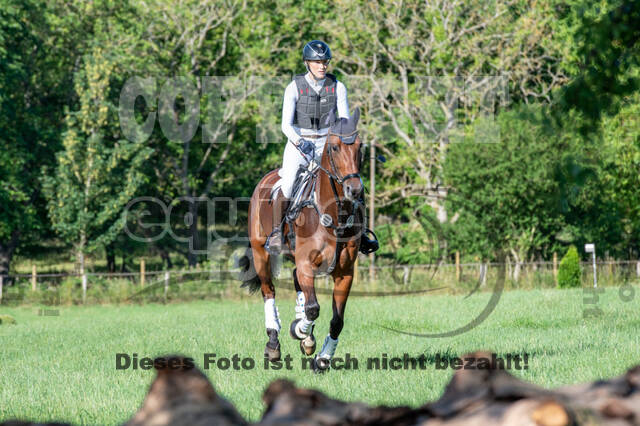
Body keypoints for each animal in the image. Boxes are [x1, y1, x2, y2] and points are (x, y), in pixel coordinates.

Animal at [238, 108, 364, 372]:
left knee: (296, 280)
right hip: (261, 252)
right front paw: (299, 330)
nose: (355, 190)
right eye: (334, 147)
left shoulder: (345, 273)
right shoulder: (306, 262)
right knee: (269, 291)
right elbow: (313, 308)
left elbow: (336, 320)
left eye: (361, 147)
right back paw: (274, 344)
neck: (333, 213)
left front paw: (322, 359)